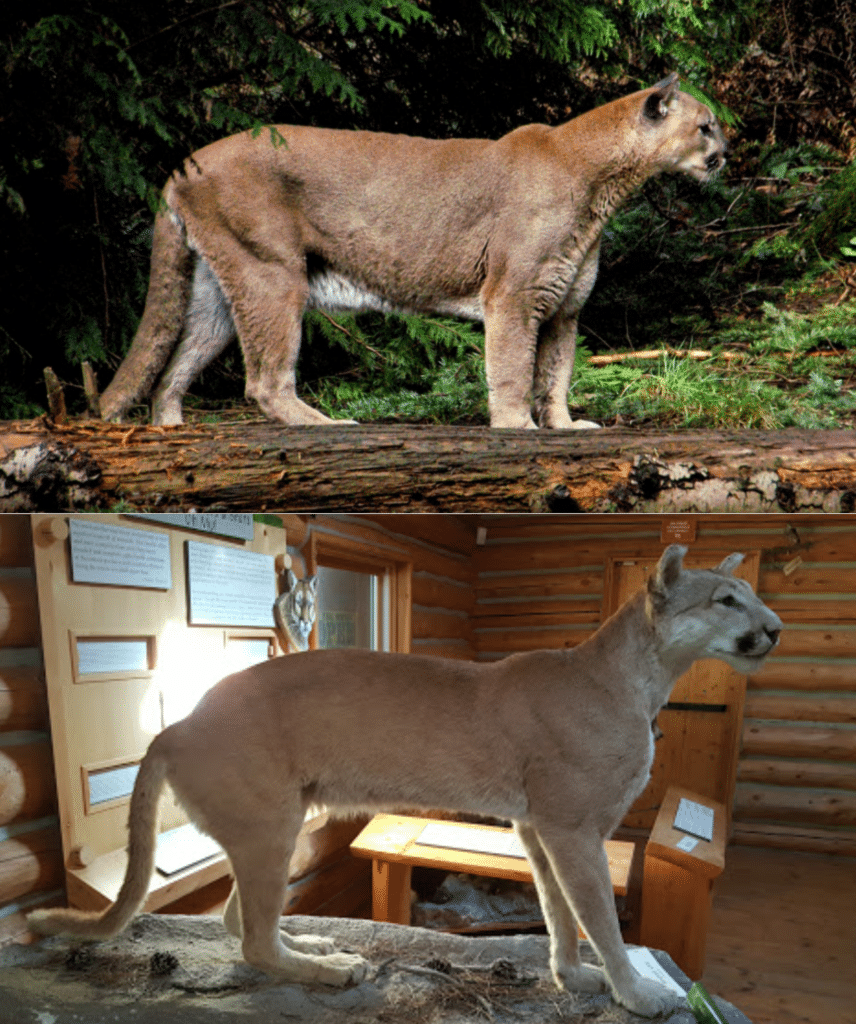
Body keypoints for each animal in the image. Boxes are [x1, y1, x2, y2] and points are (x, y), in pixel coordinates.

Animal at [30, 544, 778, 1015]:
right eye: (726, 600)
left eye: (751, 597)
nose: (773, 628)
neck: (642, 676)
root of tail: (178, 722)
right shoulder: (571, 828)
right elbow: (599, 916)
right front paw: (641, 994)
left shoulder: (539, 827)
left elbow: (556, 908)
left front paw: (571, 977)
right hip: (269, 825)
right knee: (250, 937)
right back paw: (332, 969)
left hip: (277, 825)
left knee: (240, 918)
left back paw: (315, 944)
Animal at [101, 74, 729, 428]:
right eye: (706, 126)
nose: (726, 153)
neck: (601, 182)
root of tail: (184, 164)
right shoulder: (514, 295)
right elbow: (513, 369)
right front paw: (516, 428)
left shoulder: (564, 307)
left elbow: (555, 376)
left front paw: (563, 427)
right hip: (273, 274)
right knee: (263, 380)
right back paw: (324, 425)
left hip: (219, 286)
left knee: (174, 362)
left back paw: (171, 427)